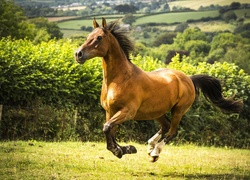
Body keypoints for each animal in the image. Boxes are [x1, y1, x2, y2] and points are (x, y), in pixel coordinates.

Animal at [74, 17, 242, 162]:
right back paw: (150, 146)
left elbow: (107, 128)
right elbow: (109, 130)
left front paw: (122, 150)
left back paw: (154, 153)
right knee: (165, 125)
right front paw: (125, 149)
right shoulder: (110, 111)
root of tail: (188, 79)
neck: (119, 79)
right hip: (156, 111)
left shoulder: (127, 112)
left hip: (178, 110)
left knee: (172, 131)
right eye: (88, 36)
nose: (78, 54)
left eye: (99, 38)